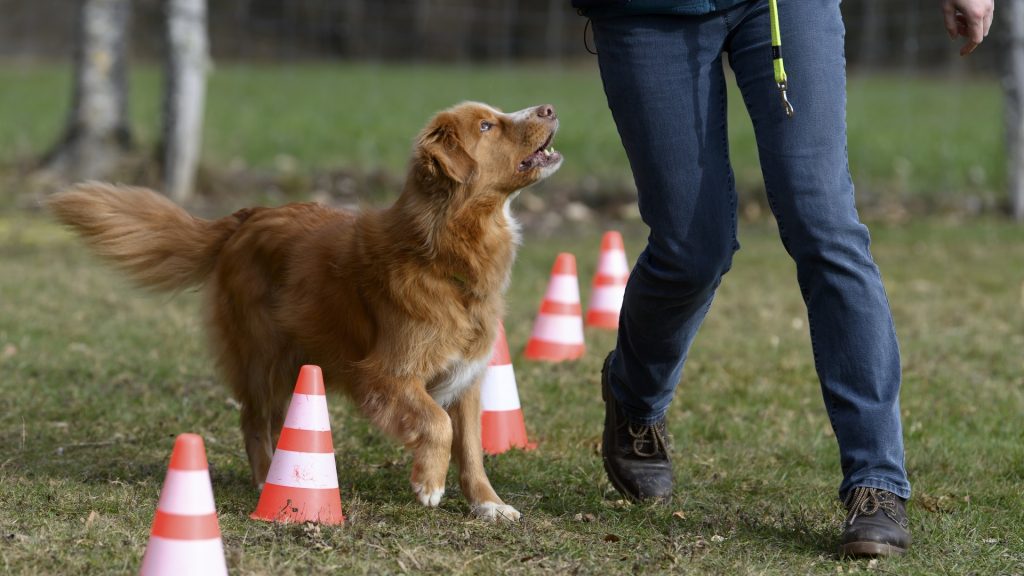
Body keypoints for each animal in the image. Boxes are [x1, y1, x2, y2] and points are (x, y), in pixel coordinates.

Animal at [48, 100, 565, 518]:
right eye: (487, 126)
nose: (549, 108)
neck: (440, 250)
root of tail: (246, 218)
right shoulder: (384, 374)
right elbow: (436, 424)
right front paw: (429, 483)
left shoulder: (466, 377)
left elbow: (472, 447)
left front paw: (487, 503)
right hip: (264, 357)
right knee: (253, 419)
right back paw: (265, 479)